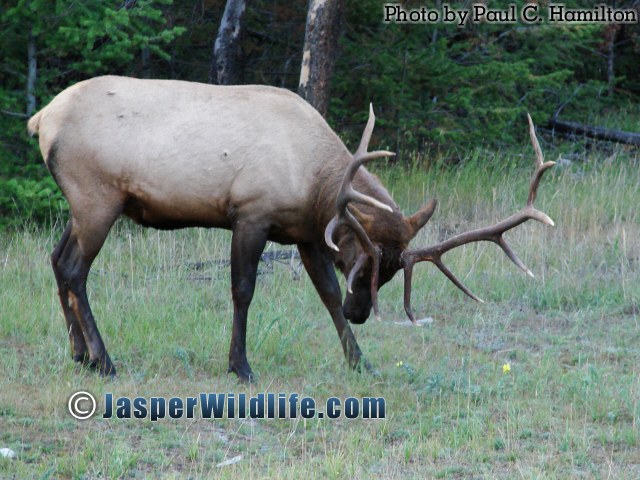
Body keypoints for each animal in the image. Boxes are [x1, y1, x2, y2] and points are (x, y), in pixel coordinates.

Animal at [26, 76, 556, 382]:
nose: (361, 312)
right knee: (74, 270)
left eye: (387, 273)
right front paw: (240, 367)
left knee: (55, 259)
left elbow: (325, 295)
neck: (316, 187)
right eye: (359, 259)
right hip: (97, 197)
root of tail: (40, 118)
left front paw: (361, 362)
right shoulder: (250, 213)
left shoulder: (304, 233)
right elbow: (243, 290)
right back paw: (104, 361)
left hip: (82, 205)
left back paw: (79, 354)